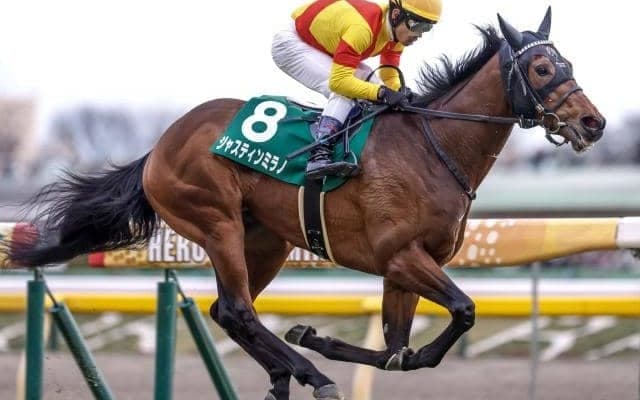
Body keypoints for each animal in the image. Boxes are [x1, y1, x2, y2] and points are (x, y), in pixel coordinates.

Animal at [3, 8, 605, 400]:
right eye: (542, 69)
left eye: (569, 62)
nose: (593, 122)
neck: (432, 146)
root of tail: (160, 146)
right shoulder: (401, 256)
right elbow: (462, 311)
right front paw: (314, 344)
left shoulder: (405, 268)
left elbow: (399, 352)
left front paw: (321, 337)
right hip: (216, 221)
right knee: (238, 310)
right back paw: (308, 373)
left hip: (264, 241)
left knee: (227, 311)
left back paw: (284, 375)